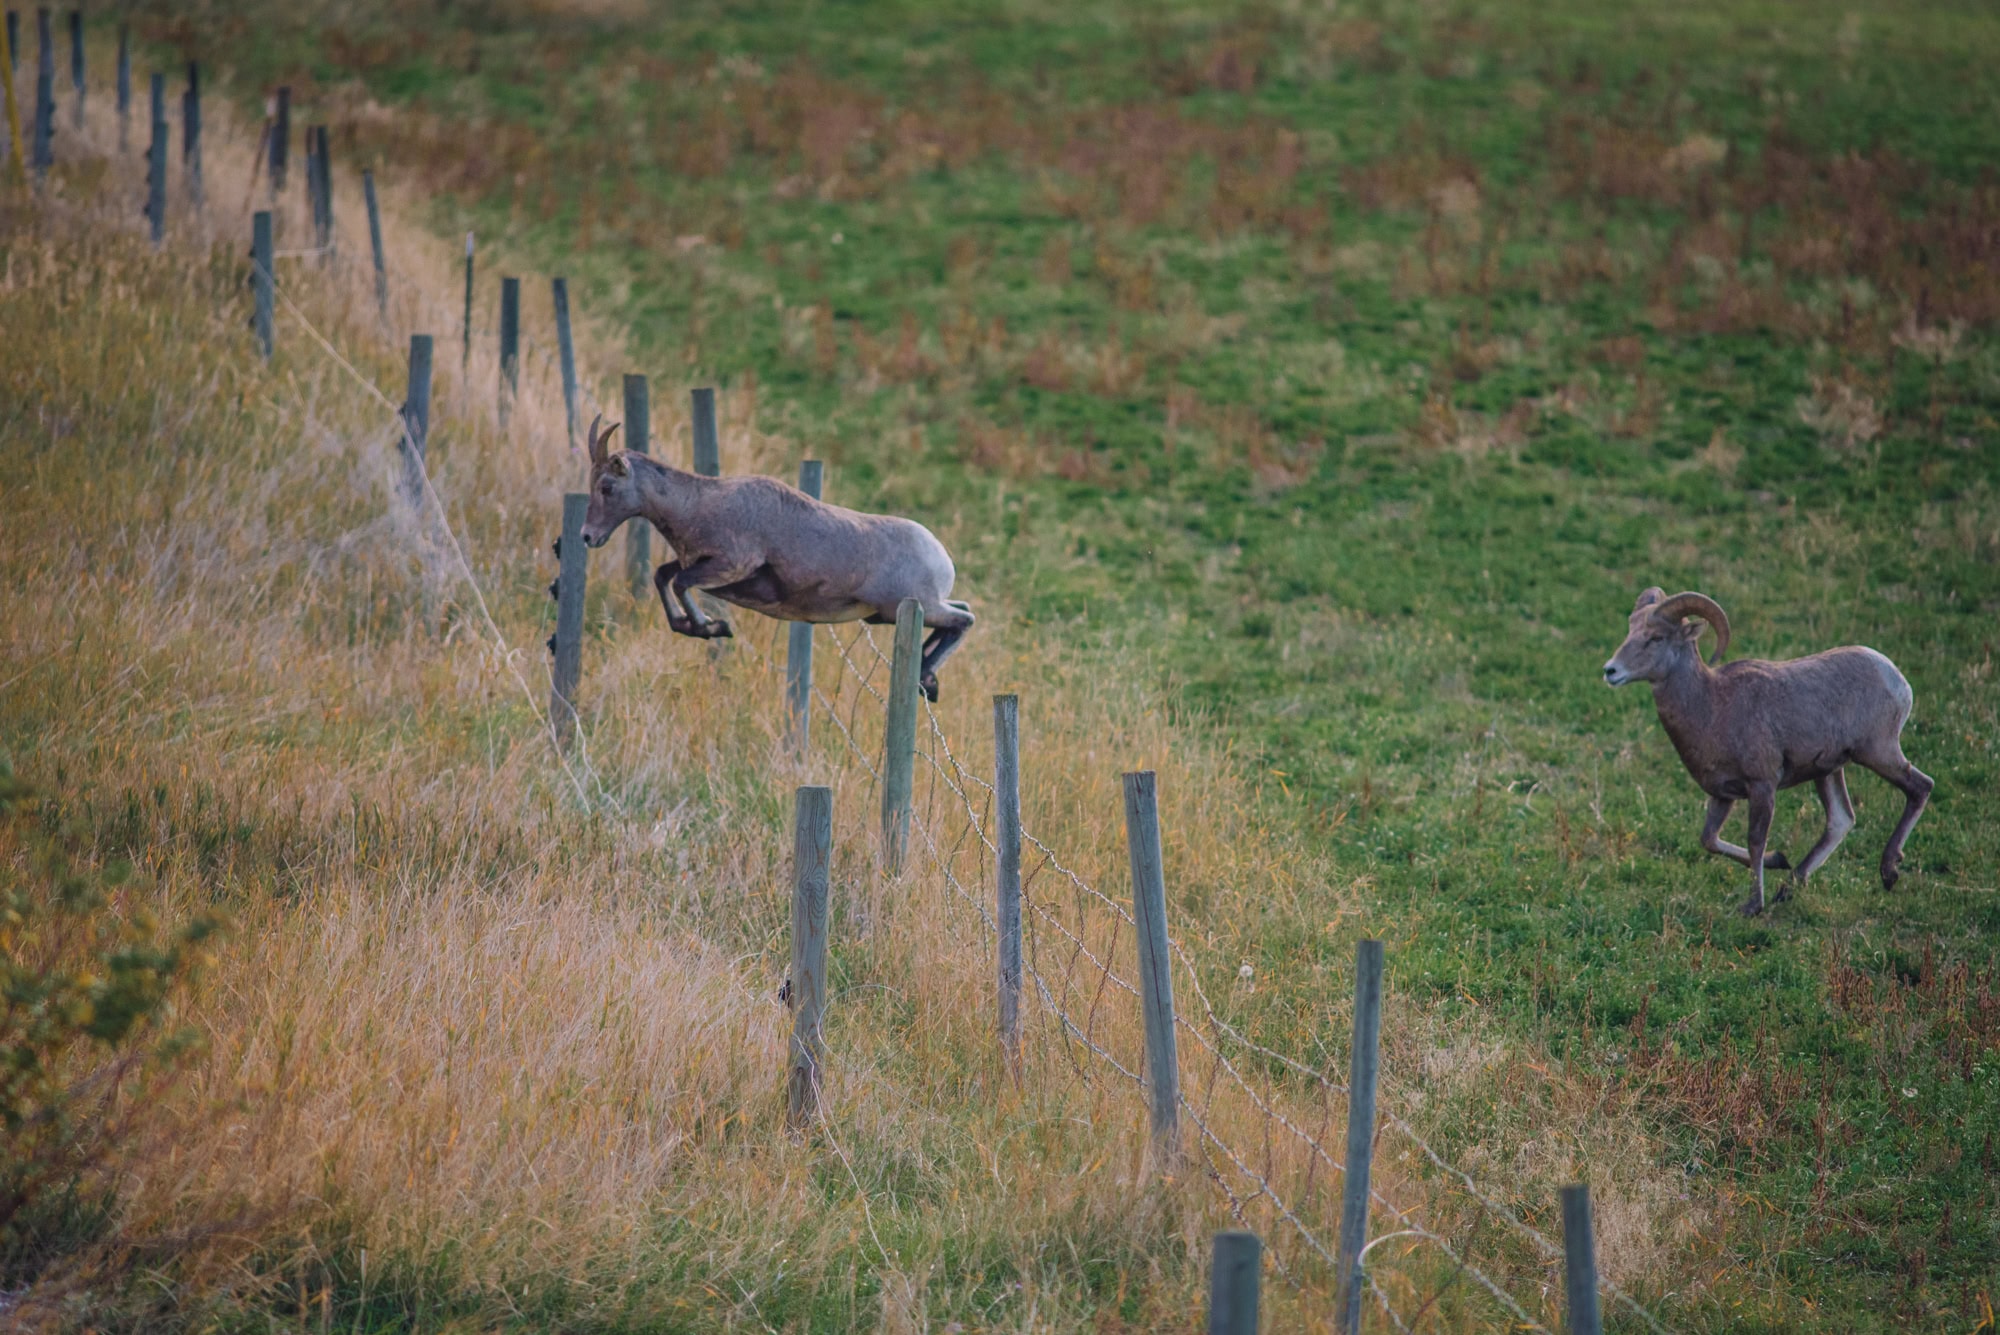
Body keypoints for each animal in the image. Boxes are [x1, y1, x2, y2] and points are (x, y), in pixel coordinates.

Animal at [576, 419, 972, 703]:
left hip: (908, 609)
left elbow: (679, 584)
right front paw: (699, 626)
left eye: (607, 487)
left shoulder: (728, 566)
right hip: (892, 614)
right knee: (960, 613)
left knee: (965, 618)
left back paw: (926, 681)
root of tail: (941, 556)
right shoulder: (695, 563)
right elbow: (664, 577)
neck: (699, 505)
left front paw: (713, 627)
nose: (587, 536)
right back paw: (928, 681)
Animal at [1600, 587, 1928, 919]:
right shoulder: (1723, 795)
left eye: (1656, 638)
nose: (1610, 671)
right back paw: (1789, 886)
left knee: (1920, 787)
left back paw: (1888, 872)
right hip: (1828, 771)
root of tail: (1896, 679)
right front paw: (1778, 860)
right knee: (1840, 820)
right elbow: (1709, 840)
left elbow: (1755, 841)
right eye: (1630, 630)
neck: (1712, 707)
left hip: (1878, 753)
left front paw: (1752, 906)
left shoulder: (1762, 787)